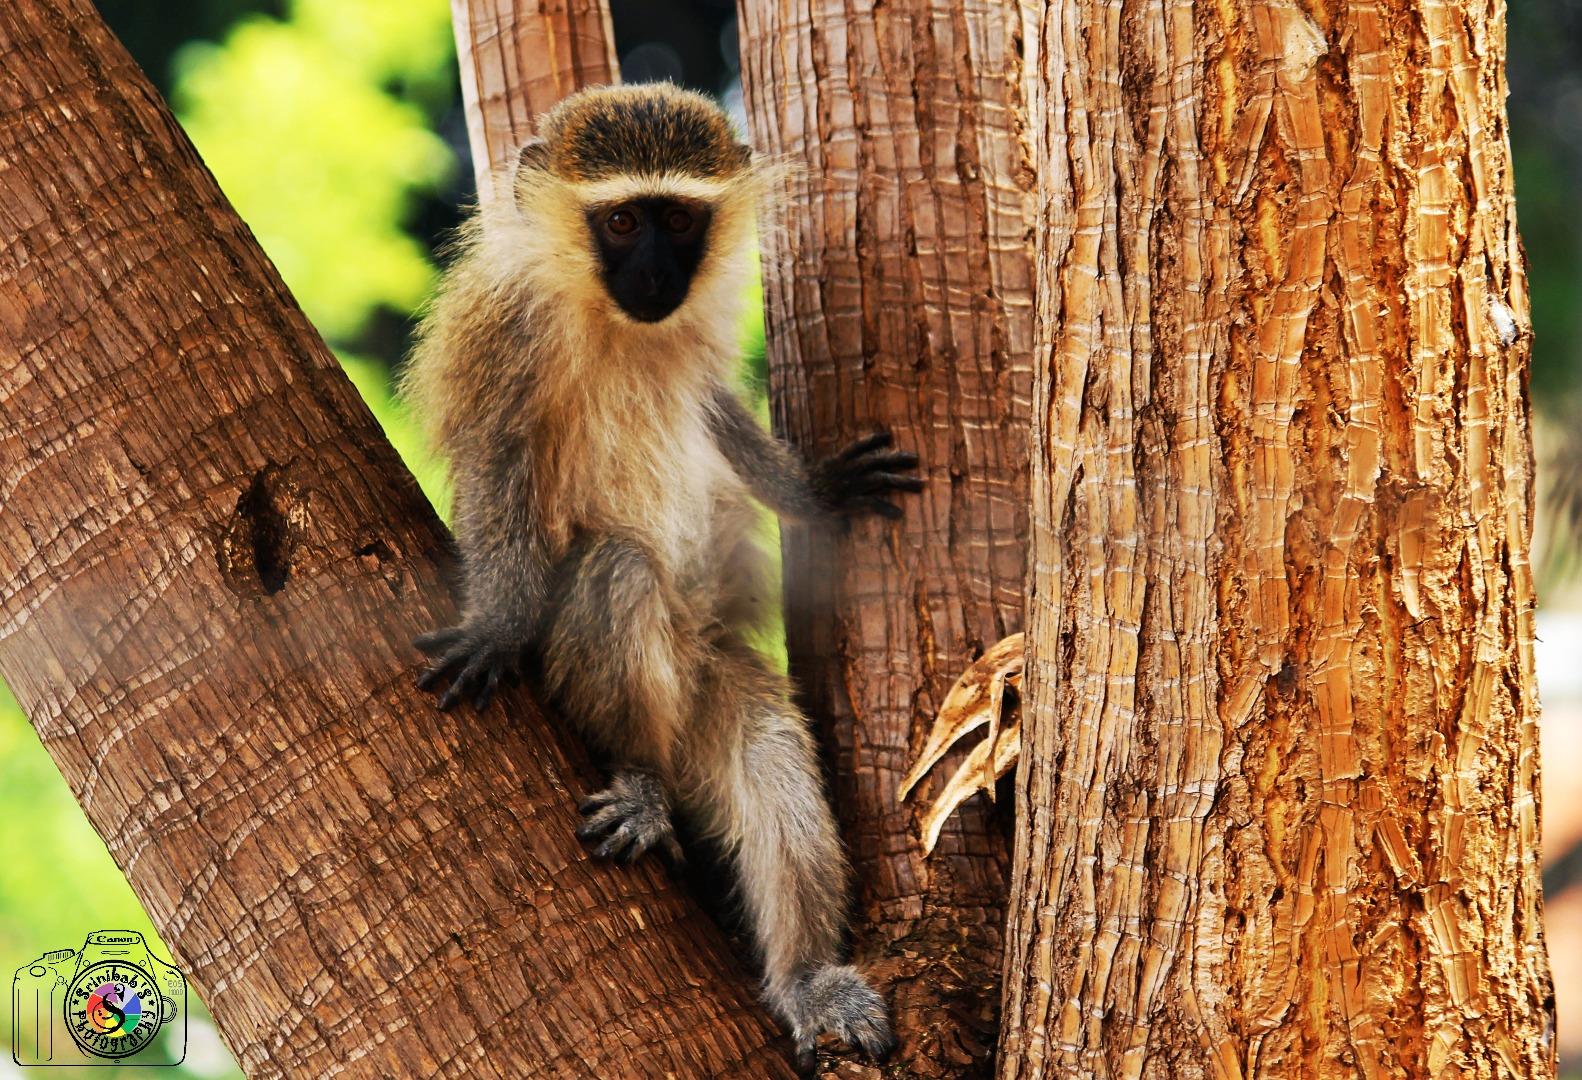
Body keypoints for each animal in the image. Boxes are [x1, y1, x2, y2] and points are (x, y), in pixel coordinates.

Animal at [401, 86, 923, 1075]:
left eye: (678, 220)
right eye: (622, 221)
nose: (653, 275)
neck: (615, 325)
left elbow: (714, 411)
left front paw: (812, 489)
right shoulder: (503, 329)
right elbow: (497, 466)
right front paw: (496, 623)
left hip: (711, 679)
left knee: (769, 753)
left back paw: (808, 980)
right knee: (618, 572)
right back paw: (640, 777)